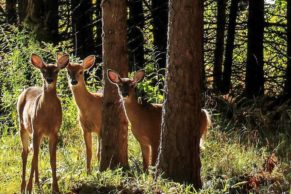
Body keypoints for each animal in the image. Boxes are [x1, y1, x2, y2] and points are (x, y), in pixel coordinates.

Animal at [17, 53, 69, 194]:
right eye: (44, 71)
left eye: (56, 71)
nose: (49, 80)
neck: (47, 117)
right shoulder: (36, 129)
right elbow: (34, 158)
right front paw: (29, 188)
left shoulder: (54, 131)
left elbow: (53, 159)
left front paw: (55, 188)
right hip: (23, 126)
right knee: (25, 153)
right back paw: (23, 186)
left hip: (38, 134)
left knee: (35, 152)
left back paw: (37, 183)